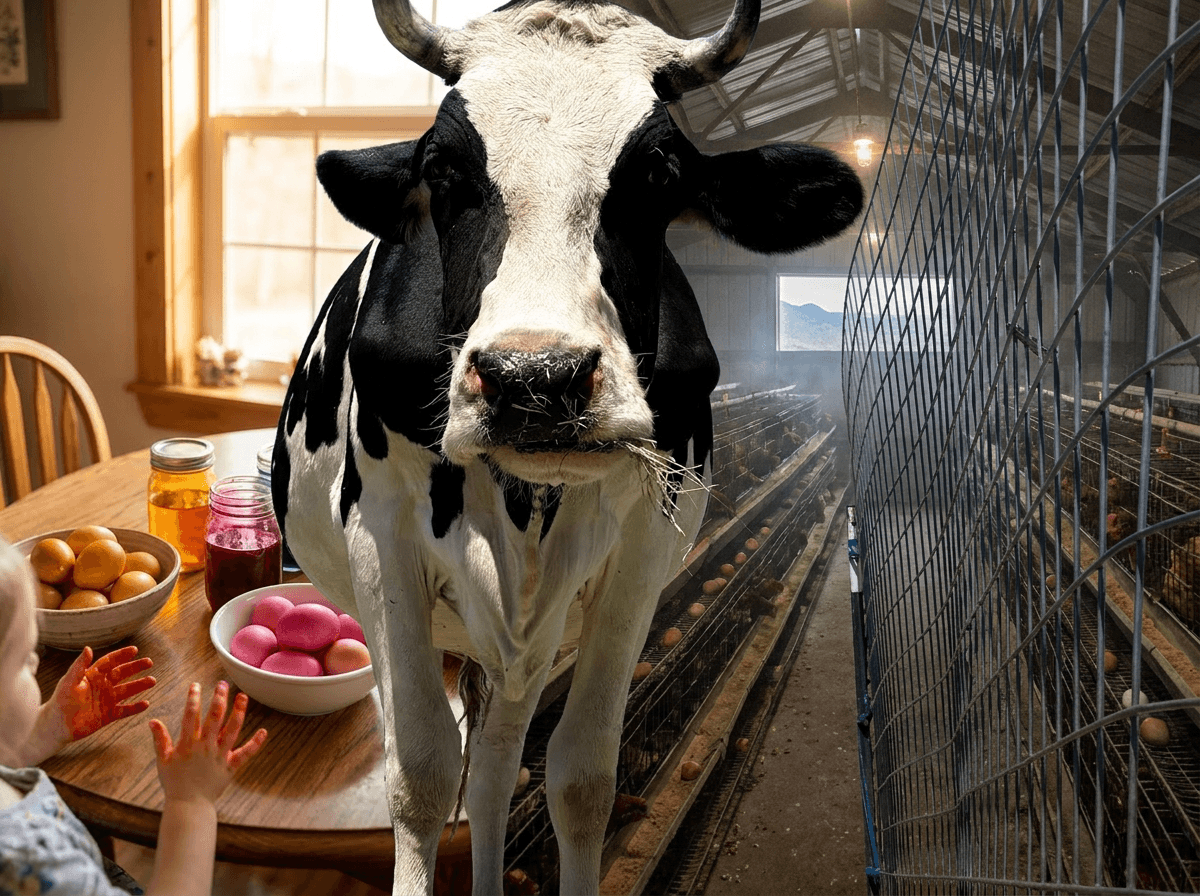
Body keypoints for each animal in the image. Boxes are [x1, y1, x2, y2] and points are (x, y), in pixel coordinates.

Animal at [271, 1, 863, 893]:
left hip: (526, 644)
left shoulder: (643, 551)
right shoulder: (381, 536)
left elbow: (582, 779)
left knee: (494, 770)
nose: (533, 377)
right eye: (442, 167)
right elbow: (420, 776)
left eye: (659, 169)